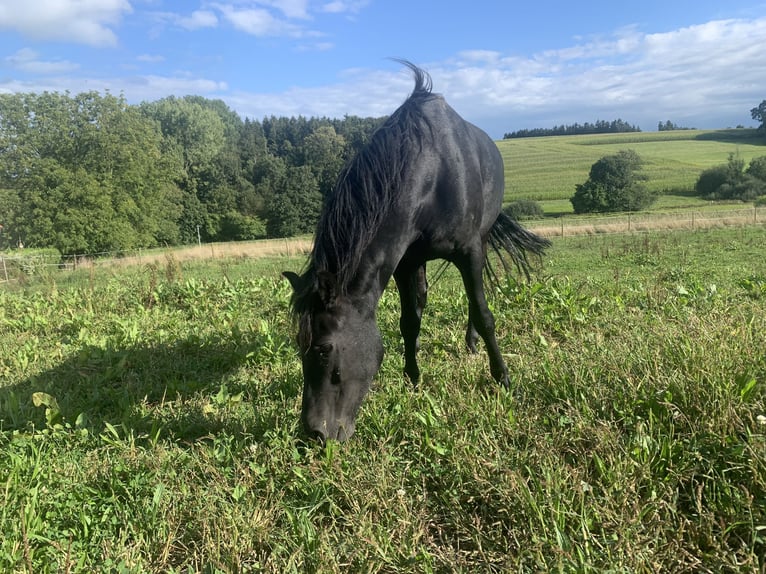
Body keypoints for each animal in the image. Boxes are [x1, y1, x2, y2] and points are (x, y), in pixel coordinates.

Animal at [284, 60, 548, 444]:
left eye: (324, 349)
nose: (315, 433)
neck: (431, 174)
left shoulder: (469, 250)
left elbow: (484, 313)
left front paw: (503, 378)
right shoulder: (404, 262)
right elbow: (409, 321)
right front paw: (412, 378)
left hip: (482, 240)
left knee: (475, 301)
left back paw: (472, 344)